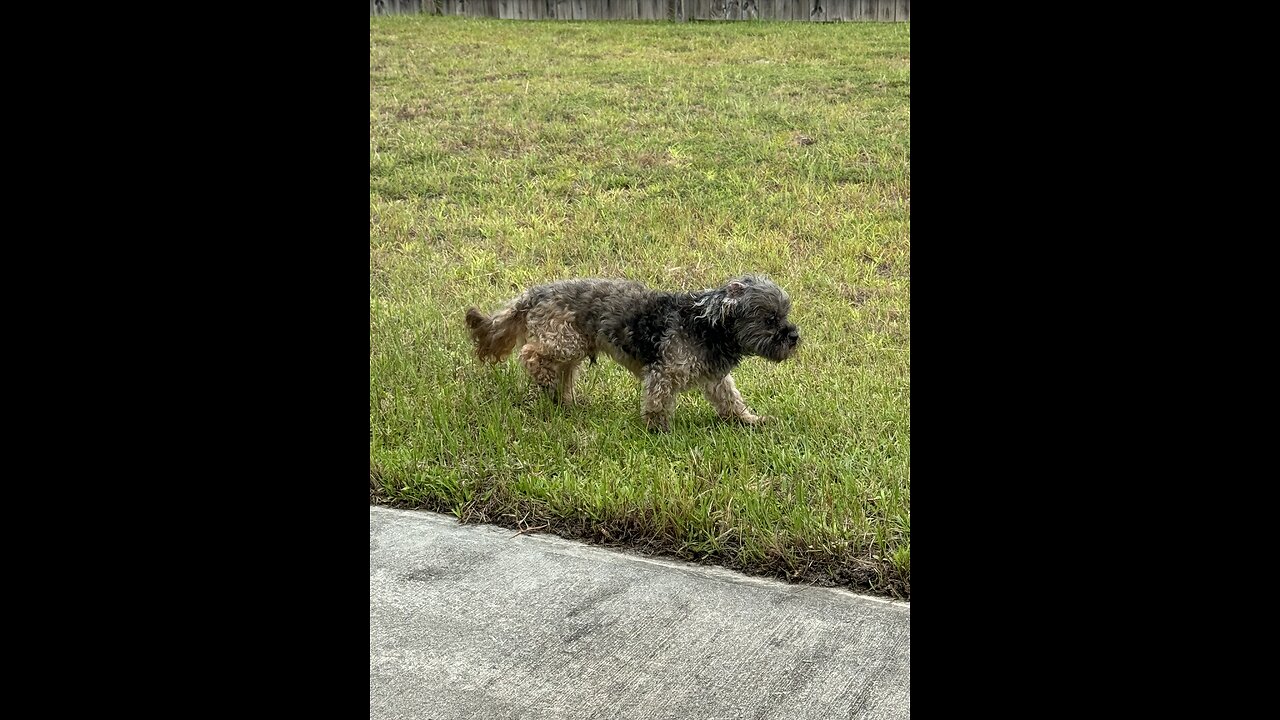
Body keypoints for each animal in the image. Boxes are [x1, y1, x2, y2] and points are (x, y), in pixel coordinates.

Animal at [460, 272, 798, 430]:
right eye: (770, 319)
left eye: (784, 314)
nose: (794, 336)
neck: (709, 324)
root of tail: (535, 293)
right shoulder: (664, 371)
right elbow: (657, 401)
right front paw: (658, 430)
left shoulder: (715, 377)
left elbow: (730, 400)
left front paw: (748, 420)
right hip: (563, 340)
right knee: (530, 353)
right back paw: (543, 377)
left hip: (574, 344)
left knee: (563, 372)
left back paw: (565, 401)